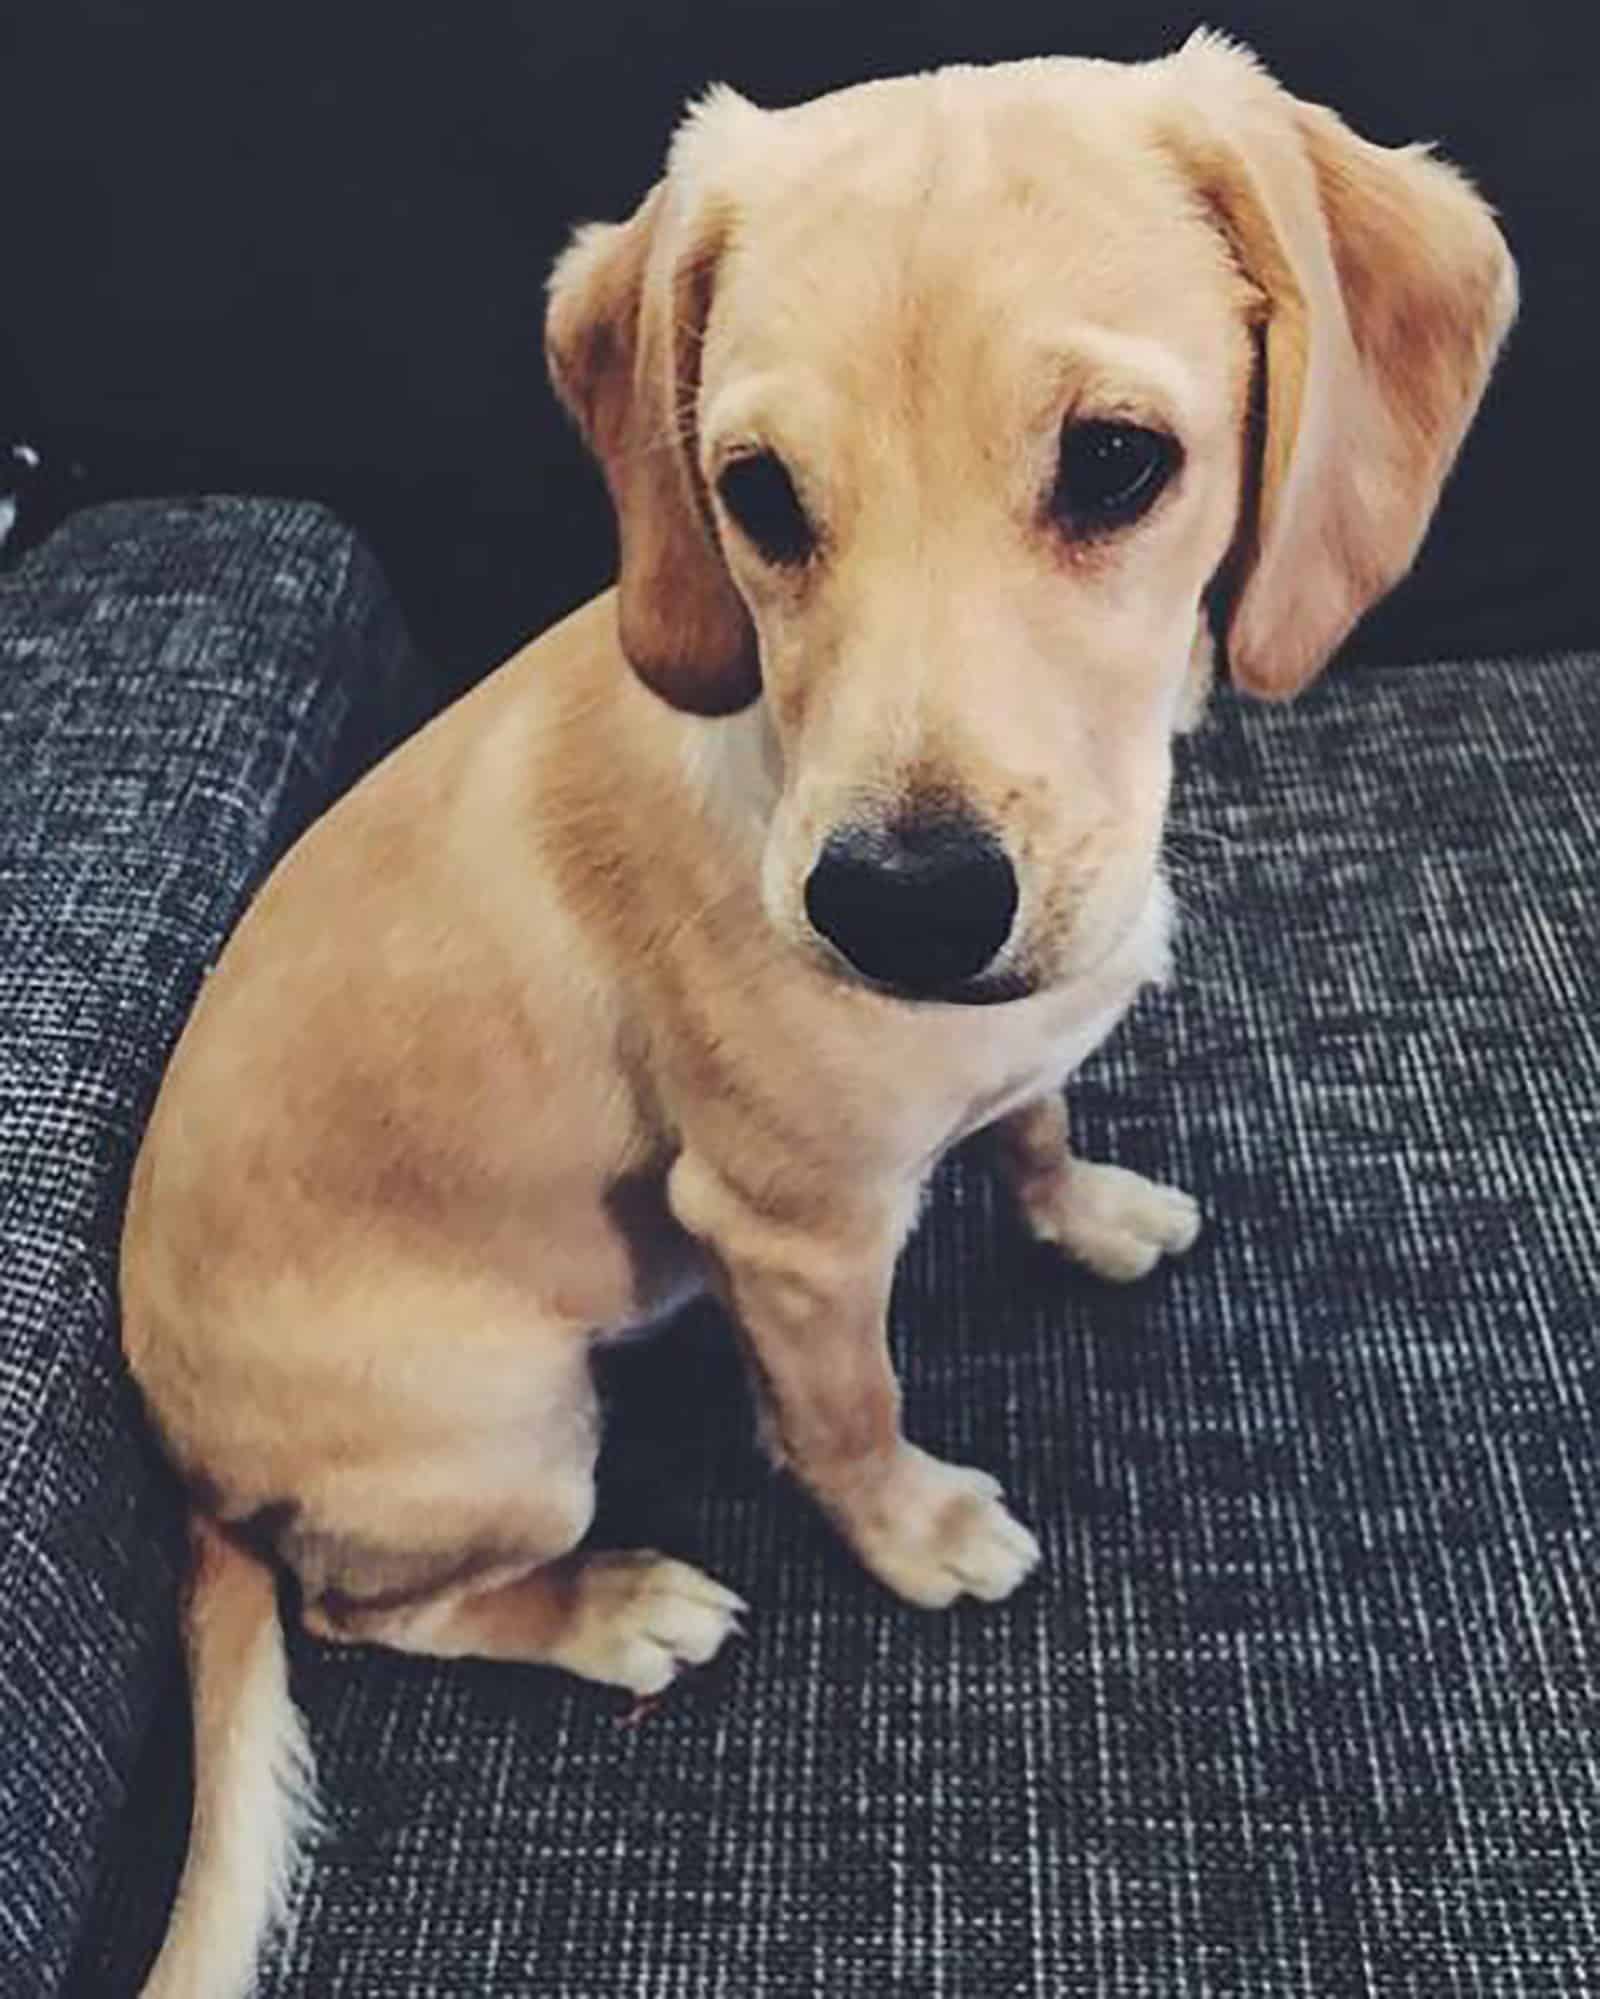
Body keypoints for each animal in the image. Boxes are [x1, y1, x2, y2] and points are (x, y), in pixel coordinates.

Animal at [122, 35, 1512, 1999]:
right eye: (761, 495)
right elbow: (847, 1409)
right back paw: (613, 1606)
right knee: (359, 1599)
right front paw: (915, 1529)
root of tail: (180, 1465)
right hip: (514, 1434)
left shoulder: (1008, 1064)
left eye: (1117, 461)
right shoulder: (788, 1236)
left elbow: (1034, 1119)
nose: (901, 911)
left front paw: (1085, 1207)